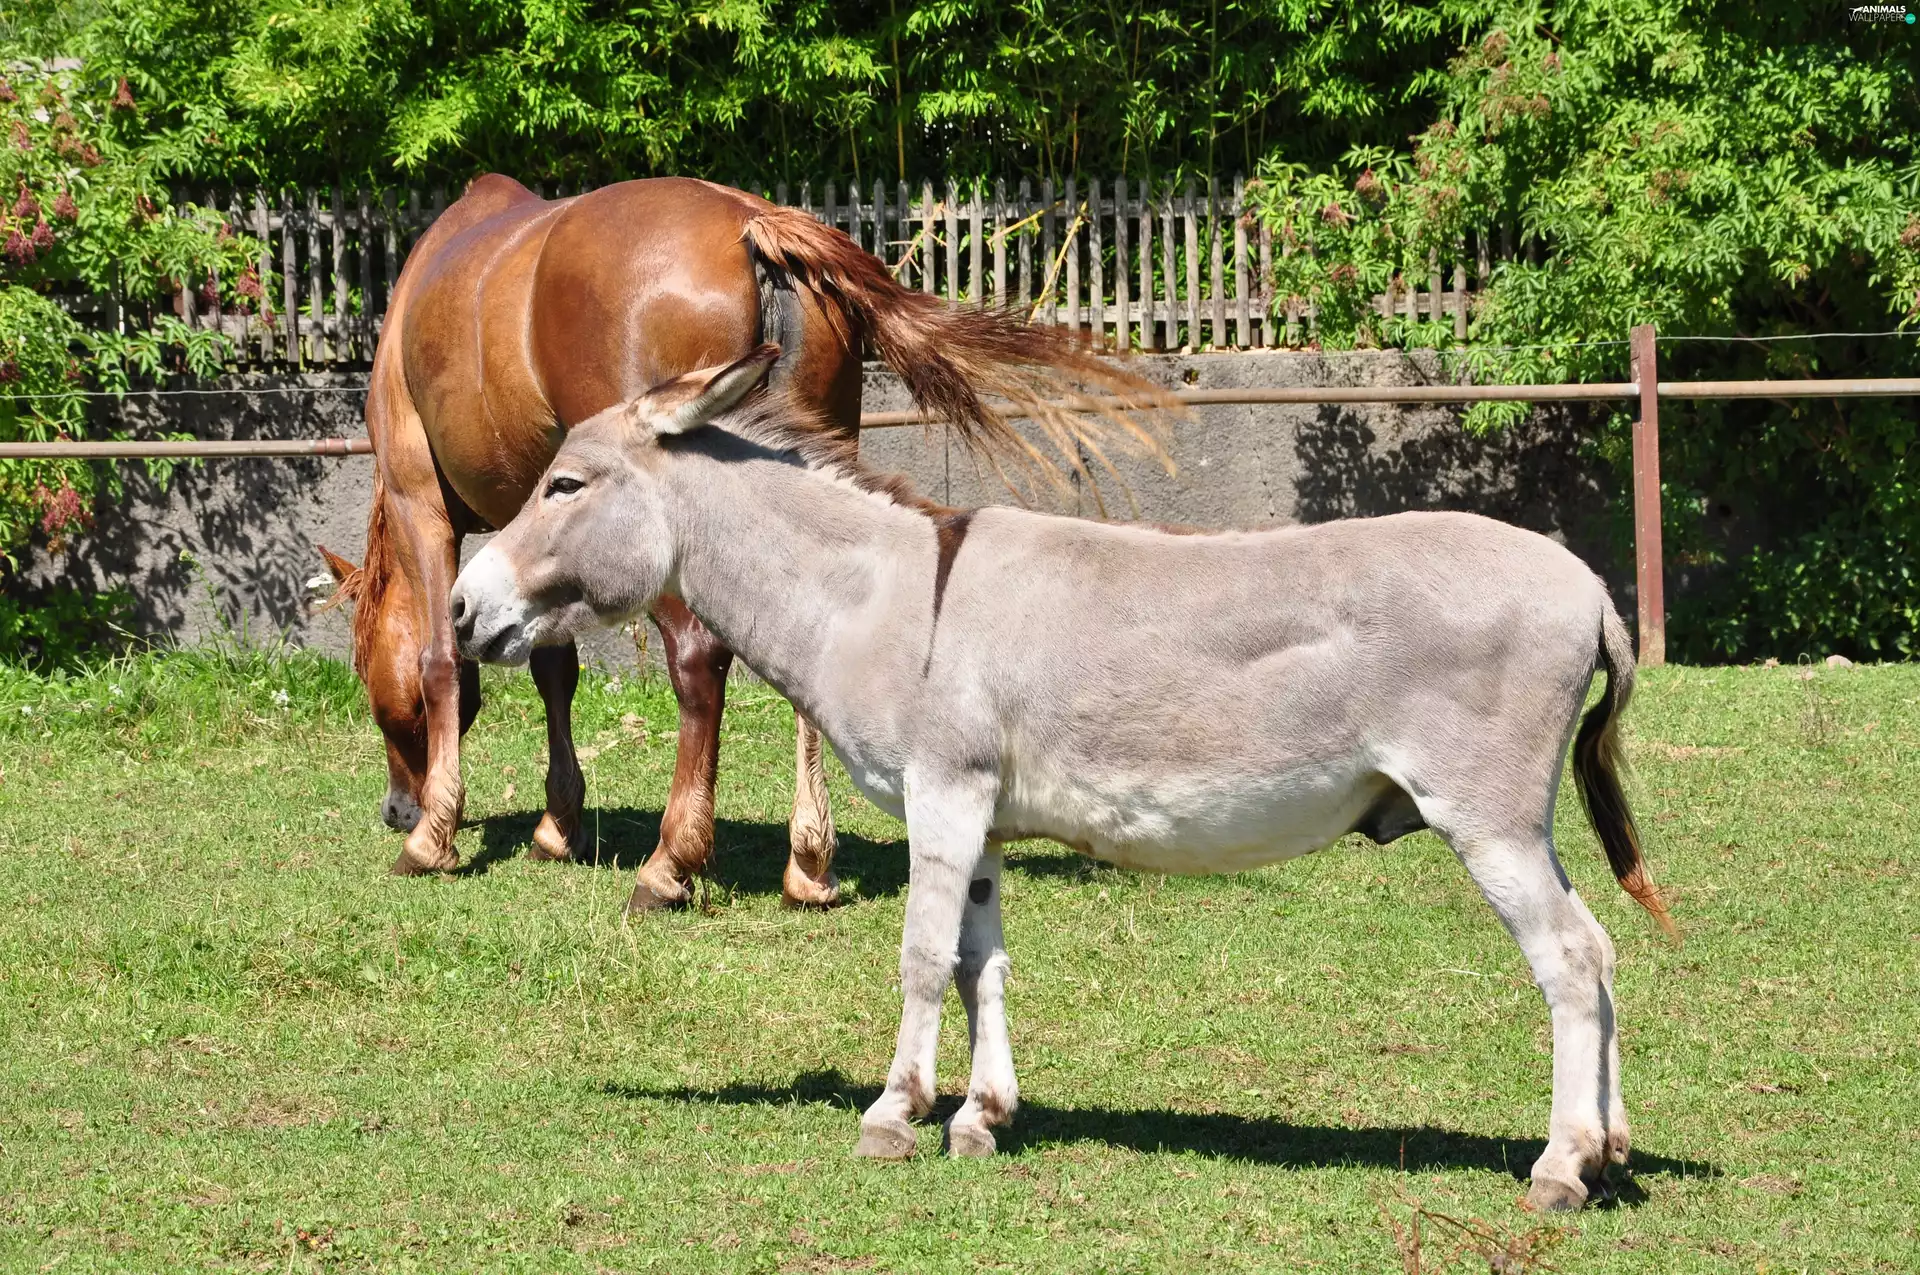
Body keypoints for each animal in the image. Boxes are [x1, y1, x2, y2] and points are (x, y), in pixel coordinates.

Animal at [321, 175, 1167, 908]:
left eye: (365, 672)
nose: (397, 808)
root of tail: (752, 224)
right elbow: (552, 670)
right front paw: (557, 824)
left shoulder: (423, 504)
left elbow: (441, 661)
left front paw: (435, 837)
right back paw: (809, 863)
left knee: (698, 661)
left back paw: (672, 861)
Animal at [447, 346, 1675, 1212]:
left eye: (564, 483)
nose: (461, 611)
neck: (883, 598)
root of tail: (1589, 588)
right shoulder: (981, 815)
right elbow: (980, 961)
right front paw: (982, 1117)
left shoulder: (943, 793)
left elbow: (920, 955)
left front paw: (892, 1112)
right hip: (1522, 821)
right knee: (1603, 950)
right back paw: (1610, 1150)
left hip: (1486, 816)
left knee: (1569, 962)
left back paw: (1560, 1169)